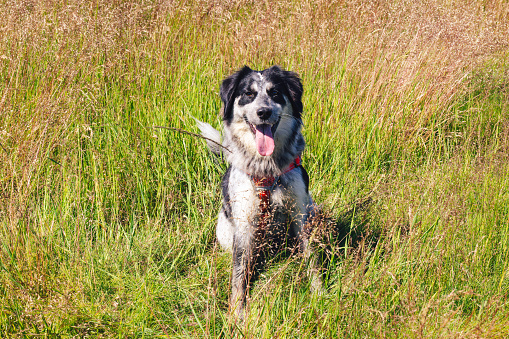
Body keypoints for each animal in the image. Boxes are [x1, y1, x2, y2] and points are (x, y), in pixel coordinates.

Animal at [195, 65, 320, 322]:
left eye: (275, 93)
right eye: (248, 94)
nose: (263, 112)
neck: (266, 170)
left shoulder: (300, 214)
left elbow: (311, 256)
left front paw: (319, 293)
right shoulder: (243, 225)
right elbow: (239, 274)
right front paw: (237, 312)